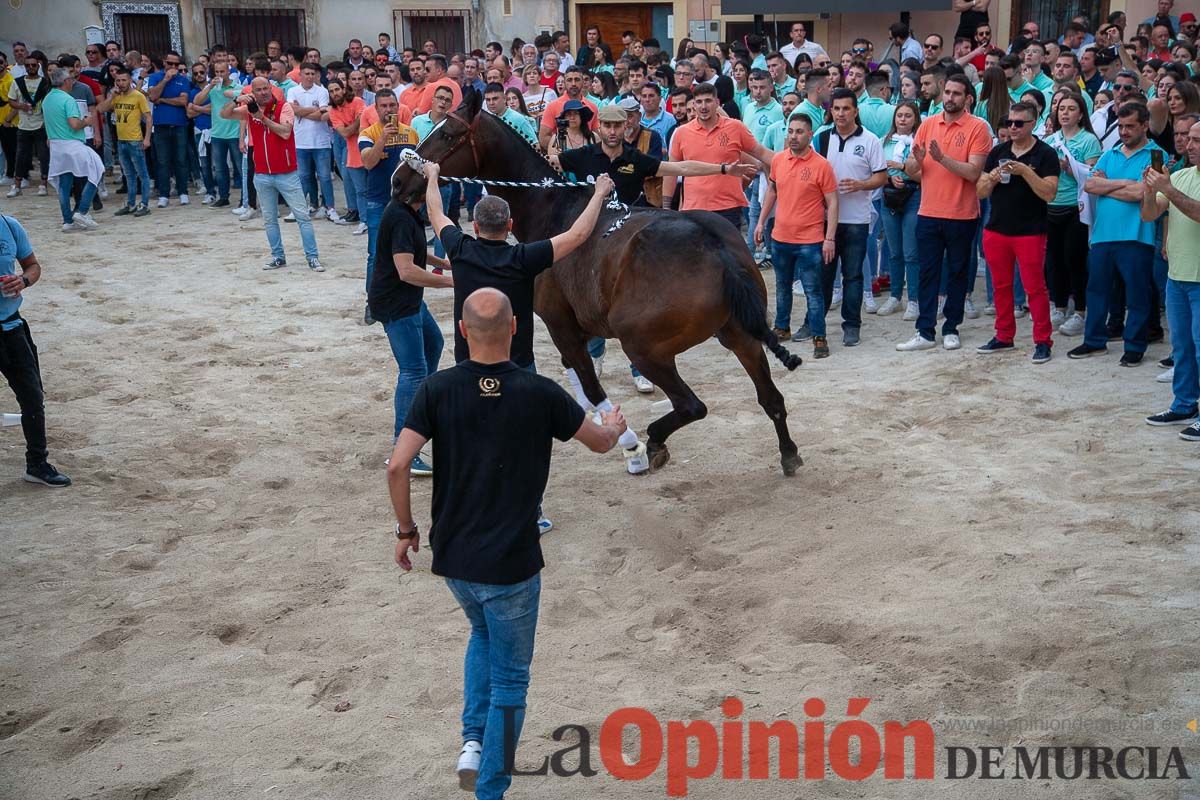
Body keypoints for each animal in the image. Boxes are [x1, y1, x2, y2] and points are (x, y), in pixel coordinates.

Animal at [396, 94, 806, 474]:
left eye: (447, 134)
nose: (399, 179)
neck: (553, 210)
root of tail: (716, 248)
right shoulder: (575, 326)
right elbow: (577, 376)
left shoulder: (560, 324)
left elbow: (591, 387)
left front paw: (628, 444)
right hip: (740, 336)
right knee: (771, 399)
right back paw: (788, 452)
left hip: (643, 346)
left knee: (691, 405)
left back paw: (653, 440)